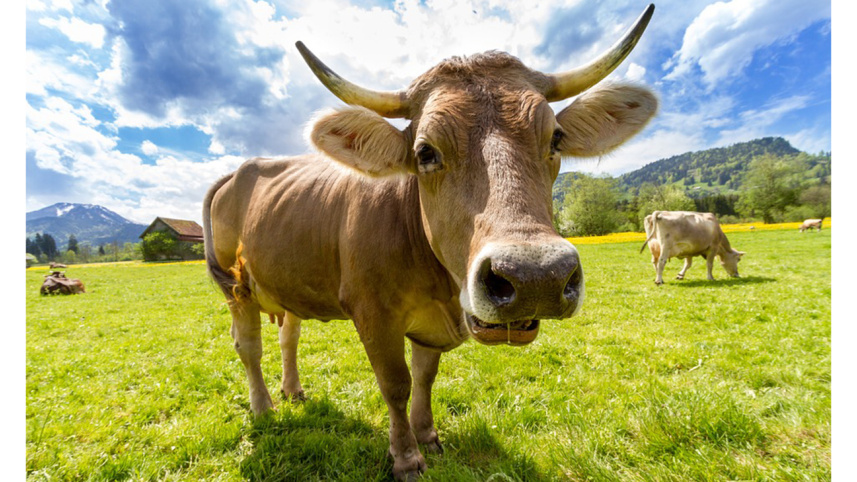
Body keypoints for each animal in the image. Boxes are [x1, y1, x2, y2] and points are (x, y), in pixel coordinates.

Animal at [204, 5, 657, 479]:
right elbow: (396, 384)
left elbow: (424, 377)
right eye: (425, 152)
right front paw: (405, 456)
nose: (536, 277)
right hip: (236, 288)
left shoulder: (429, 326)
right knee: (248, 347)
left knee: (287, 336)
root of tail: (241, 170)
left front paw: (428, 437)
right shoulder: (372, 314)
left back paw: (292, 391)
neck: (438, 285)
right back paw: (263, 408)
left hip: (286, 281)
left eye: (555, 138)